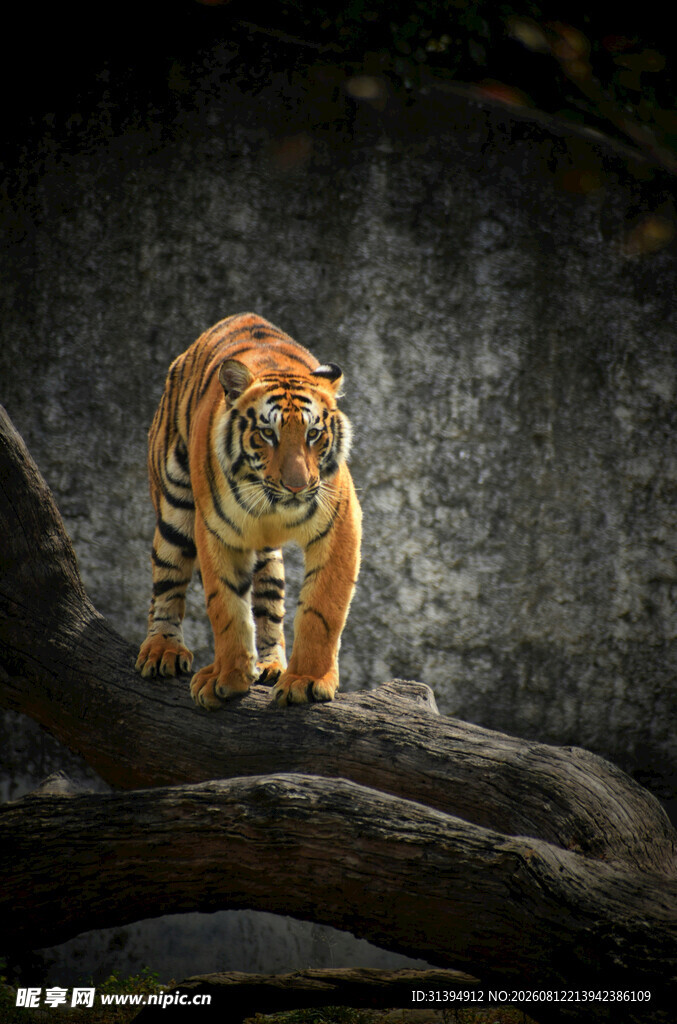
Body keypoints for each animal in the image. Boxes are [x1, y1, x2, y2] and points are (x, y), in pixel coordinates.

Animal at [135, 312, 361, 708]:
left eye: (313, 434)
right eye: (268, 434)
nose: (297, 486)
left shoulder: (340, 524)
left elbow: (322, 609)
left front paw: (306, 680)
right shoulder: (216, 531)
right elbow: (226, 608)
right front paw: (226, 677)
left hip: (267, 557)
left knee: (269, 602)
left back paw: (272, 665)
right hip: (174, 509)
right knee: (167, 581)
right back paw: (162, 649)